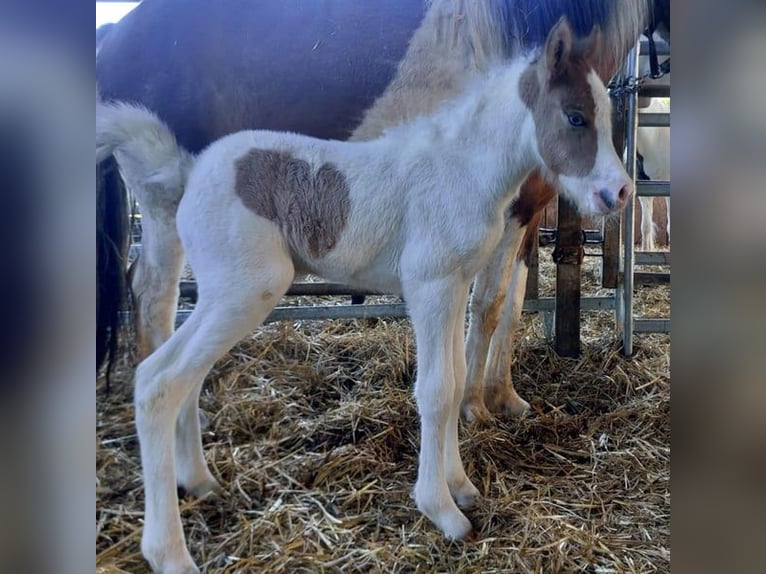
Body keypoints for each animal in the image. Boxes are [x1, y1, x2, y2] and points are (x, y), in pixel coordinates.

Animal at [96, 0, 670, 421]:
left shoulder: (527, 207)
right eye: (577, 116)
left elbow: (512, 301)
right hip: (169, 198)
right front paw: (472, 407)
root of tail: (118, 33)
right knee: (155, 295)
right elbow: (487, 303)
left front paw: (504, 397)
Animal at [97, 20, 631, 571]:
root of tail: (191, 172)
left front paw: (460, 485)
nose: (620, 193)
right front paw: (441, 510)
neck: (461, 168)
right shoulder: (430, 286)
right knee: (158, 381)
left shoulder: (454, 285)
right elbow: (437, 389)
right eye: (575, 116)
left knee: (188, 378)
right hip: (244, 291)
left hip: (222, 296)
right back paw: (169, 552)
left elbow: (457, 375)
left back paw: (200, 481)